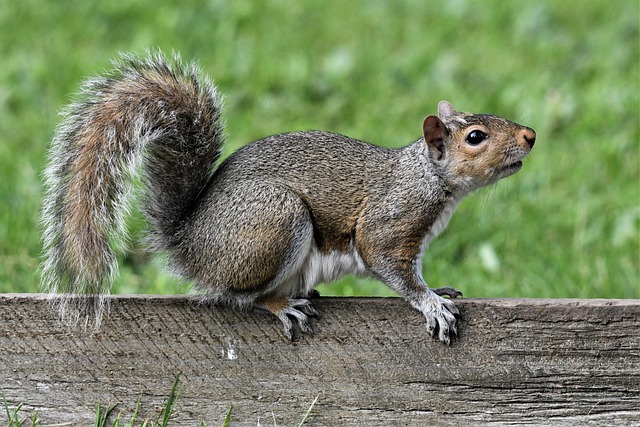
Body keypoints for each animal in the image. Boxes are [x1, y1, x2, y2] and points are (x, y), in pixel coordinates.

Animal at [41, 51, 535, 344]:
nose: (530, 136)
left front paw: (441, 289)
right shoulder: (391, 222)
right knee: (237, 298)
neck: (428, 177)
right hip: (276, 223)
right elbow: (389, 264)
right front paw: (431, 303)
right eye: (475, 137)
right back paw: (281, 304)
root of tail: (189, 241)